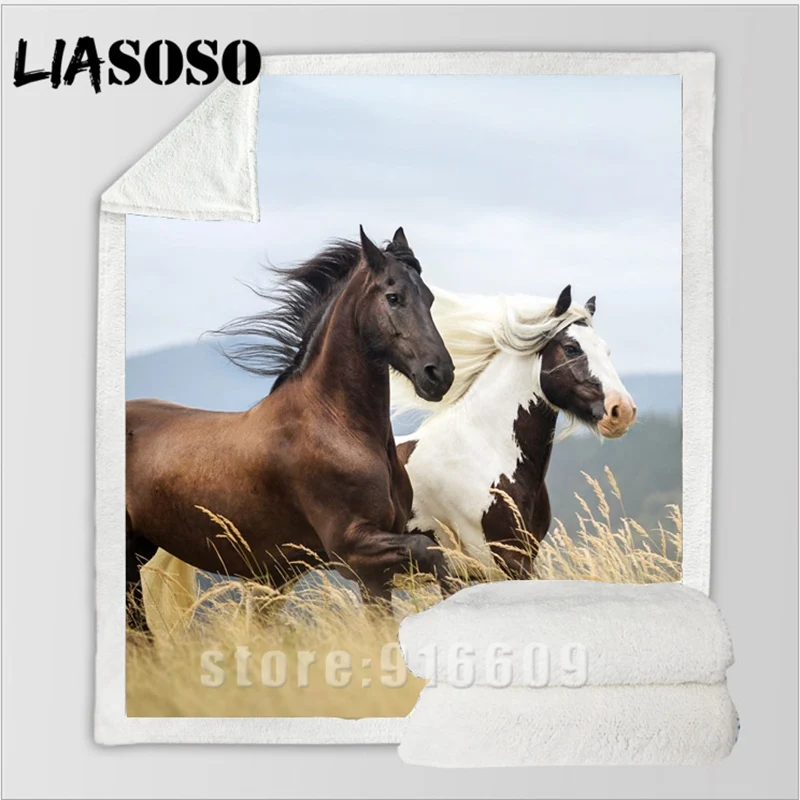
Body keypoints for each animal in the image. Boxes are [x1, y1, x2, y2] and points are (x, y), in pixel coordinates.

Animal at [125, 226, 455, 633]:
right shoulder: (353, 550)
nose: (439, 374)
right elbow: (434, 555)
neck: (336, 424)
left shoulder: (374, 572)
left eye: (429, 298)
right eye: (394, 297)